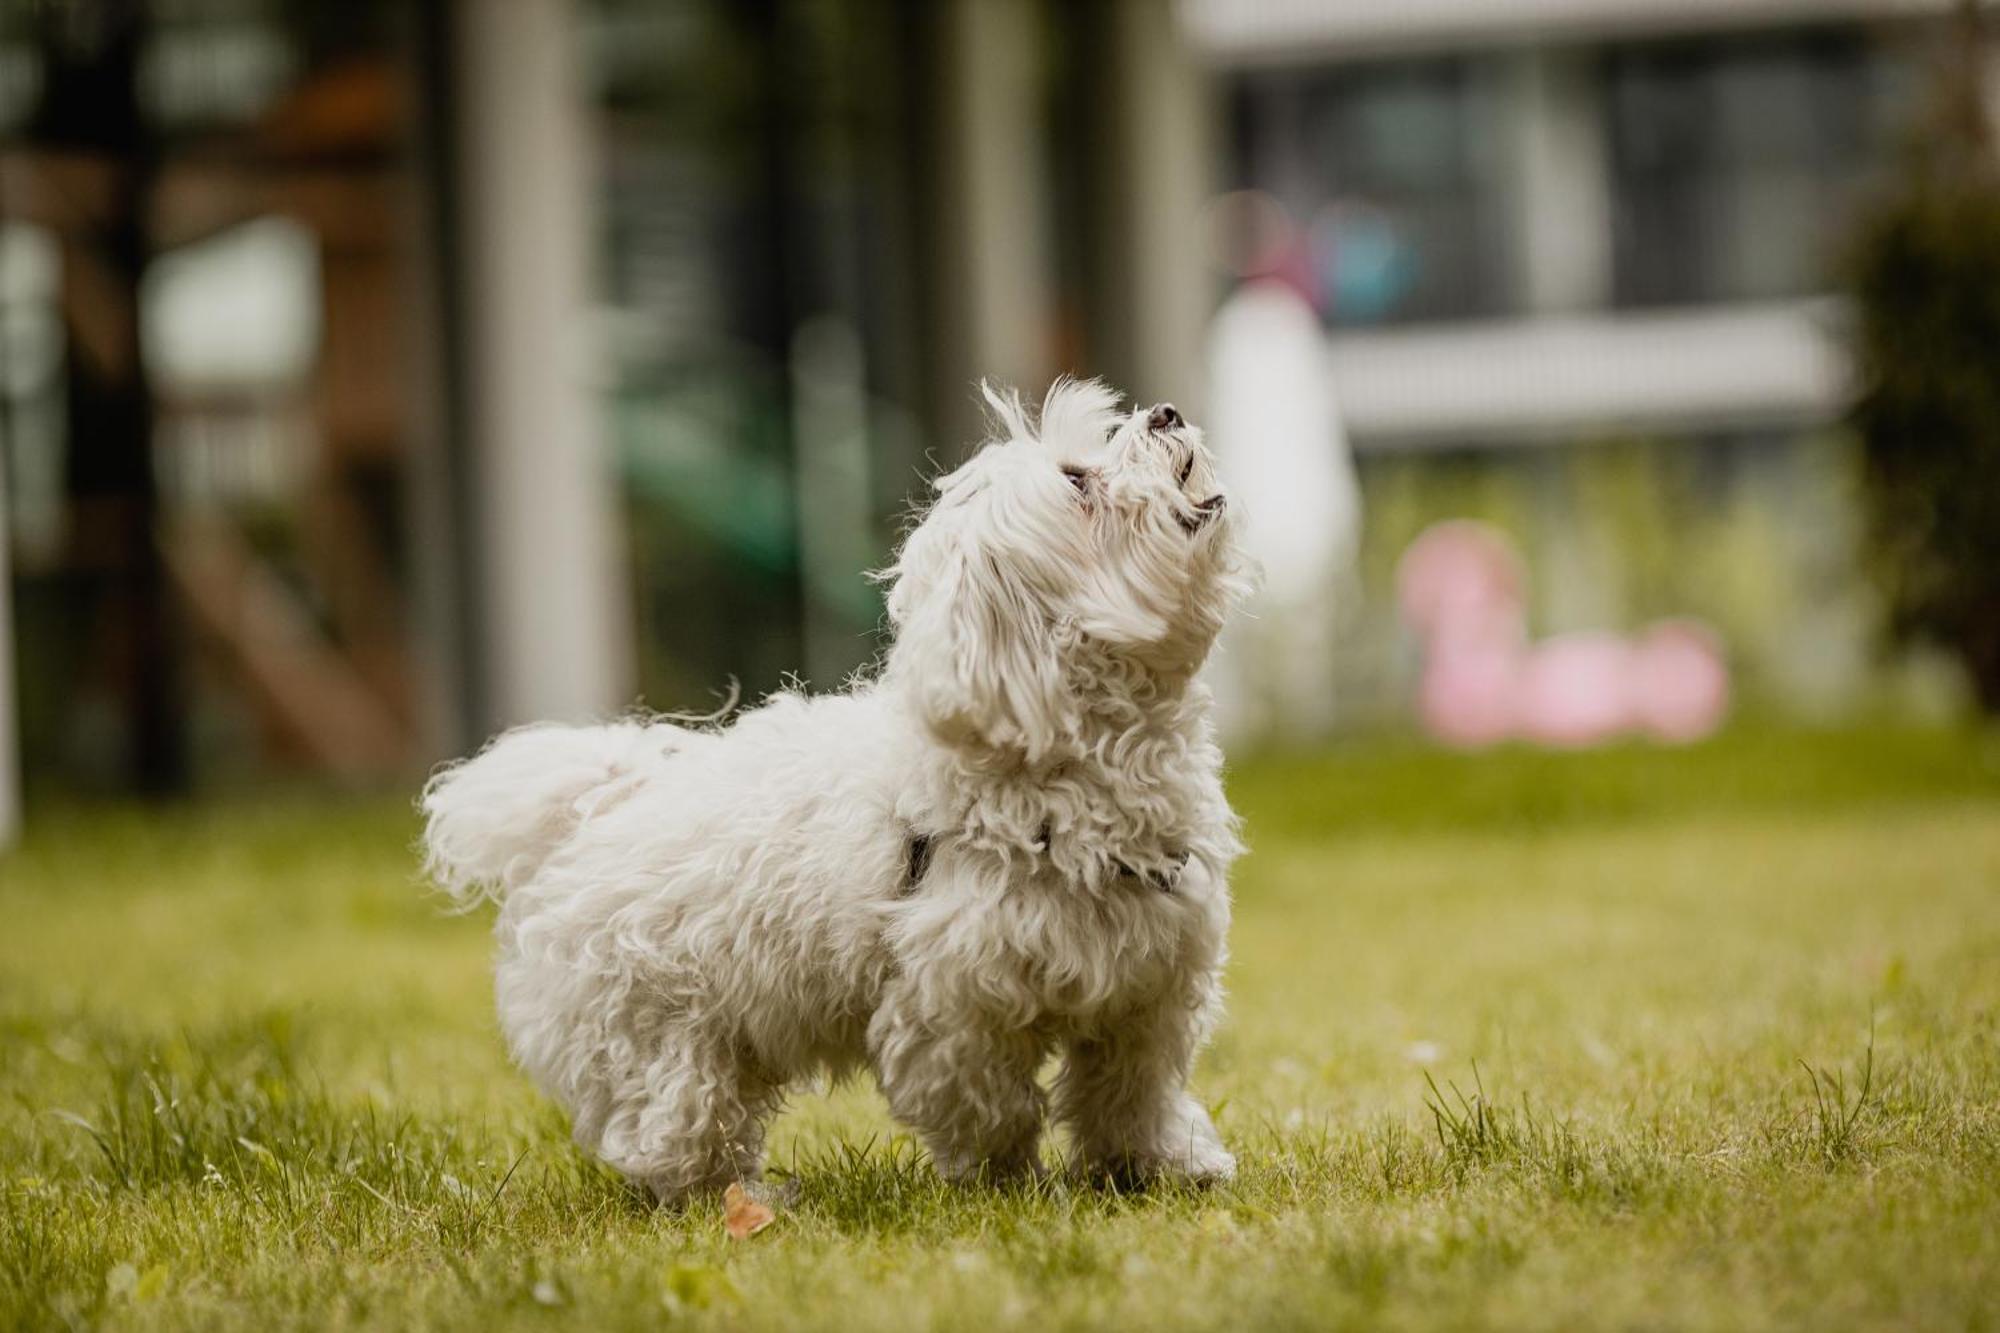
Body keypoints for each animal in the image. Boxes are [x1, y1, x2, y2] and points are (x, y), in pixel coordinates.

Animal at [424, 378, 1248, 1200]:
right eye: (1077, 482)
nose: (1166, 412)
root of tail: (589, 812)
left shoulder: (1149, 985)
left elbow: (1134, 1093)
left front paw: (1160, 1165)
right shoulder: (947, 1012)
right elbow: (990, 1106)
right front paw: (1006, 1184)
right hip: (655, 1031)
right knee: (674, 1127)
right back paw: (735, 1197)